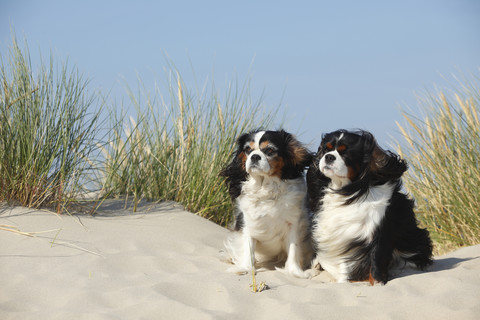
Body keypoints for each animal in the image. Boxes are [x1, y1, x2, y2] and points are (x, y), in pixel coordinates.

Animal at [219, 129, 314, 278]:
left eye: (269, 150)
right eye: (248, 149)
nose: (255, 156)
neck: (265, 186)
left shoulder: (293, 224)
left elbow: (294, 248)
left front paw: (295, 272)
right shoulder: (247, 223)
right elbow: (248, 246)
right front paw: (245, 268)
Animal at [308, 129, 436, 284]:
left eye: (346, 153)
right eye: (326, 149)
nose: (329, 157)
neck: (347, 189)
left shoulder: (378, 231)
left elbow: (376, 258)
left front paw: (378, 282)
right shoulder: (342, 234)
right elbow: (345, 265)